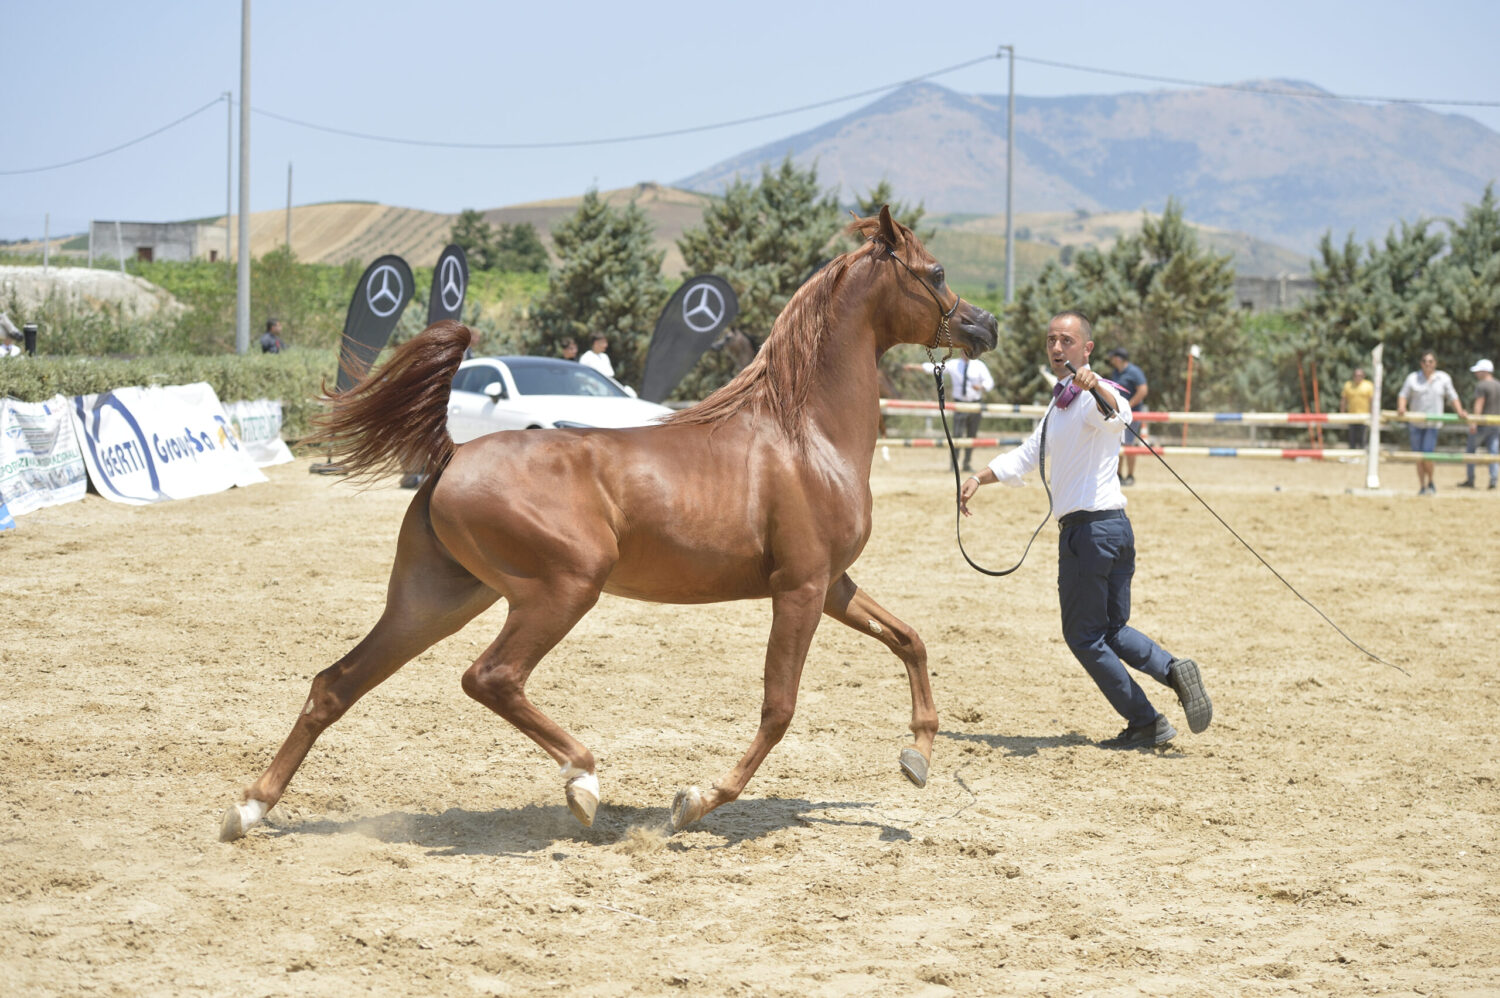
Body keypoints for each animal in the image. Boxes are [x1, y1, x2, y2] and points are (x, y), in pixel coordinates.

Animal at [219, 207, 997, 841]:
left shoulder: (833, 584)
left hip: (438, 597)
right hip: (564, 587)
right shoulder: (800, 588)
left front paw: (918, 756)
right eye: (937, 271)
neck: (805, 435)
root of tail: (451, 454)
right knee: (490, 677)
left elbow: (910, 639)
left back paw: (249, 811)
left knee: (336, 684)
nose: (984, 326)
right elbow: (779, 708)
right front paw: (693, 802)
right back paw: (584, 783)